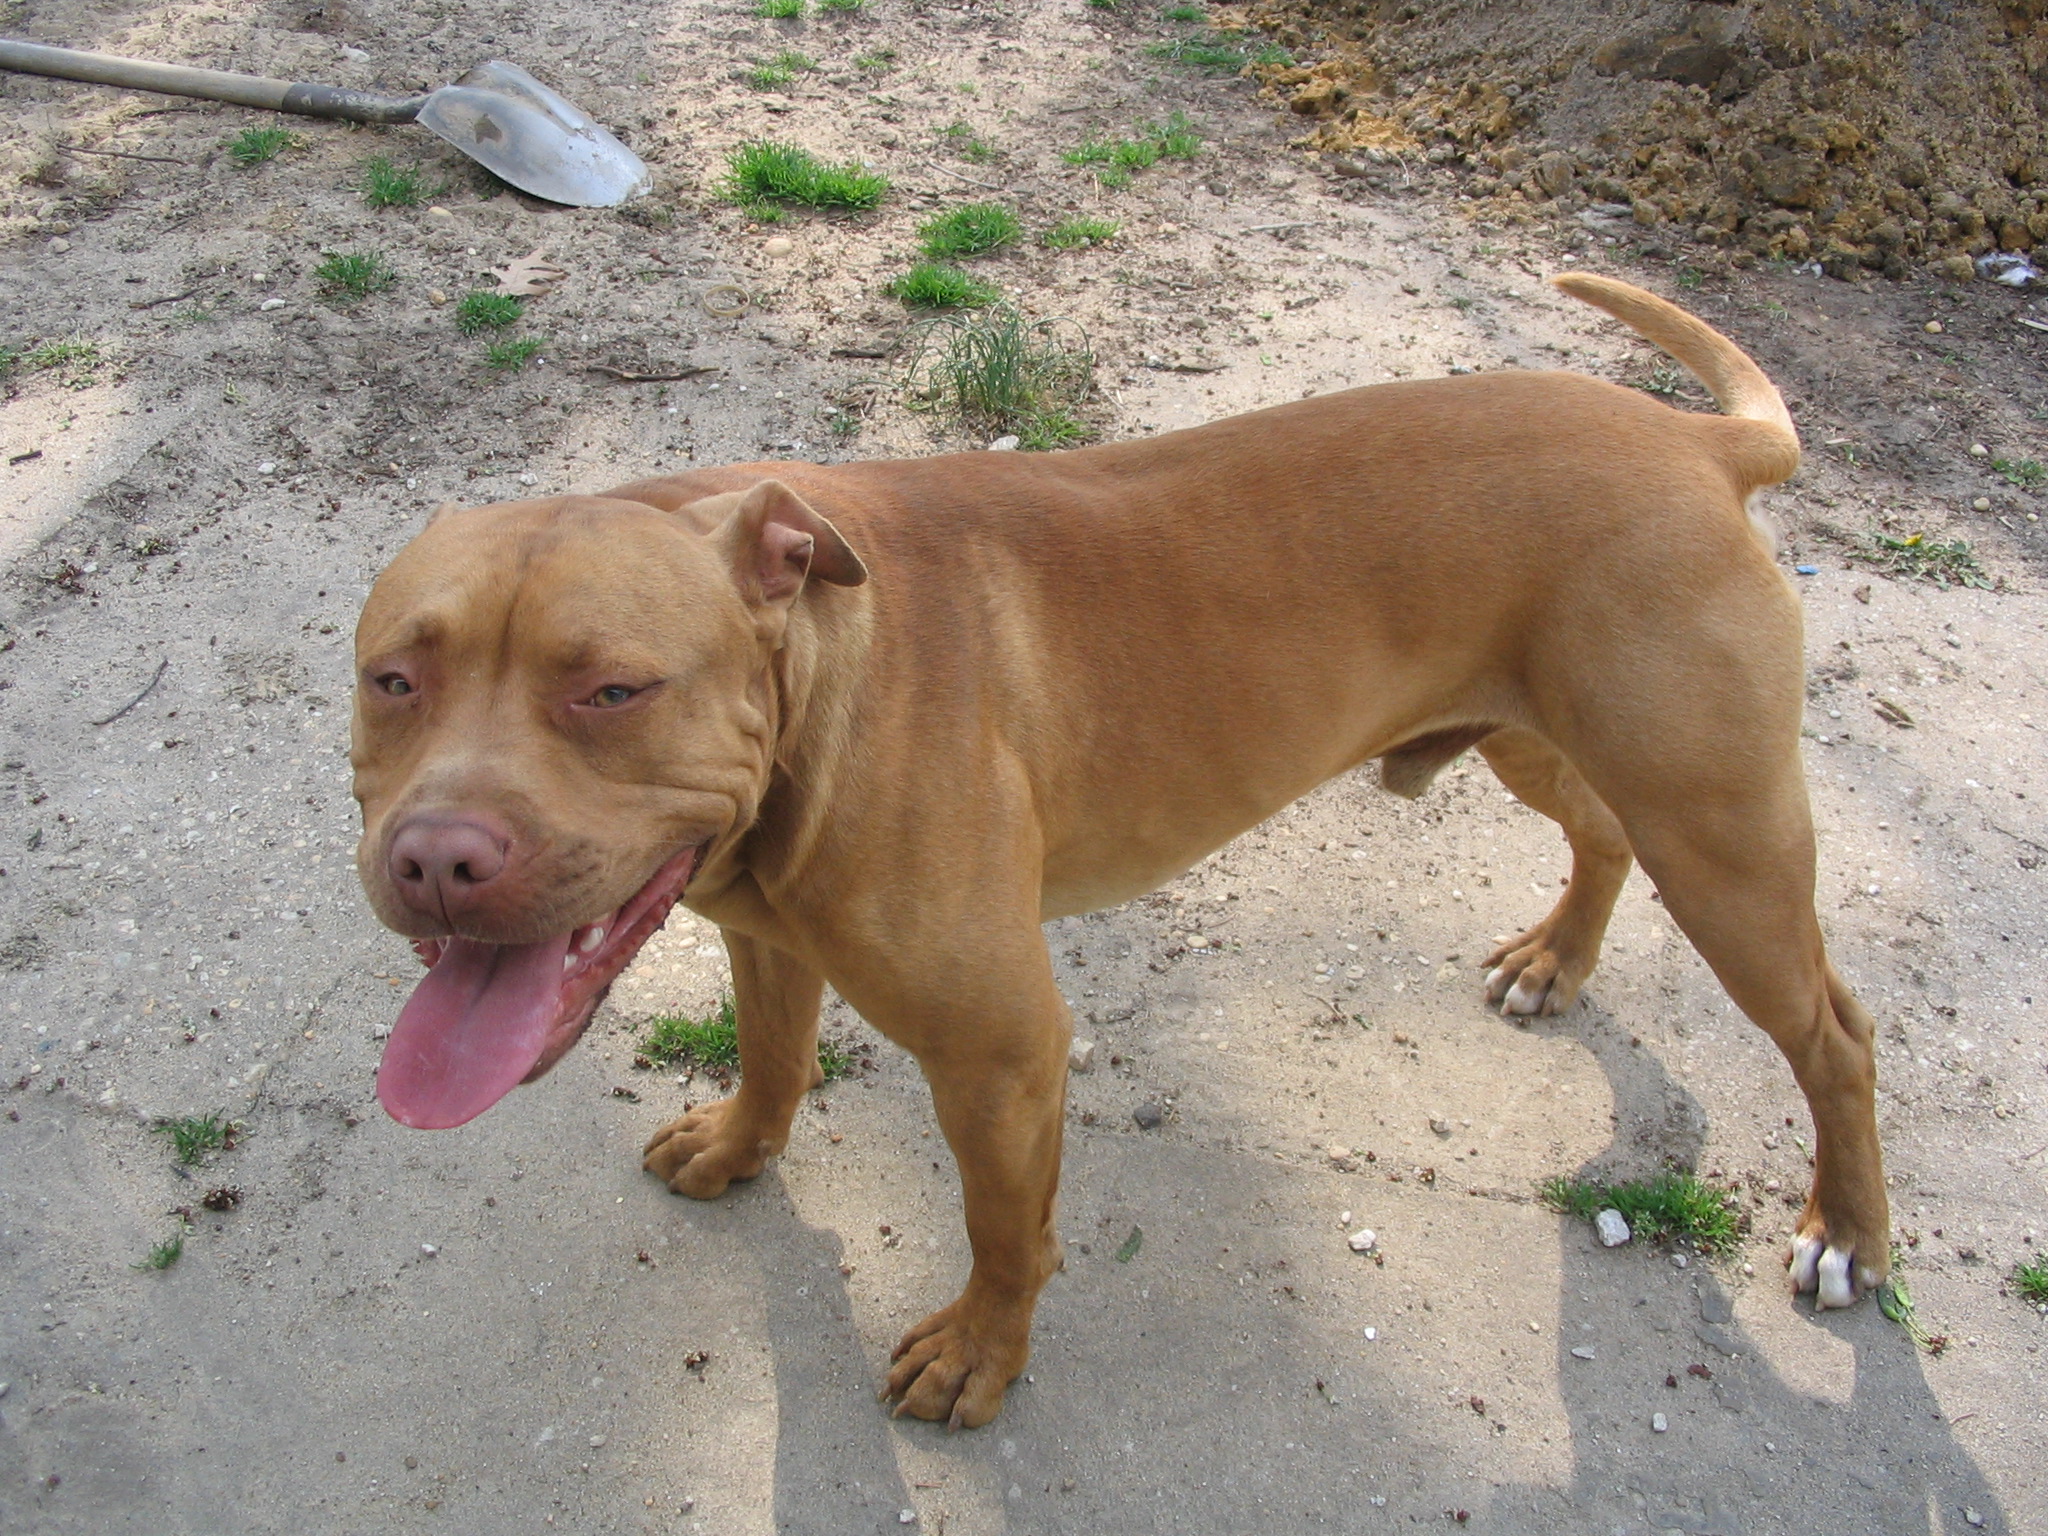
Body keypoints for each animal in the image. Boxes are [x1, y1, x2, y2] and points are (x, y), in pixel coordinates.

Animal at [352, 274, 1884, 1433]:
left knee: (1836, 1034)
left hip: (1724, 847)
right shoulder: (764, 936)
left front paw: (981, 1353)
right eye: (392, 681)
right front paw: (740, 1145)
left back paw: (1846, 1232)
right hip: (1539, 743)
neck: (816, 670)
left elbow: (1001, 1227)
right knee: (1602, 833)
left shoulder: (998, 1050)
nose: (434, 861)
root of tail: (1694, 447)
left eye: (612, 690)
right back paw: (1558, 957)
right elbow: (776, 1059)